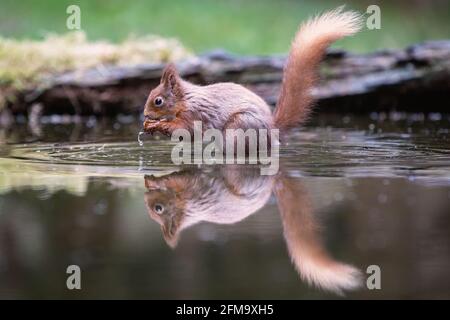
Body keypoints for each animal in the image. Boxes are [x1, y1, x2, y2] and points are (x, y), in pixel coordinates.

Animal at [144, 7, 362, 135]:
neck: (186, 100)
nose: (145, 116)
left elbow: (183, 128)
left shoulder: (194, 114)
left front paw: (158, 125)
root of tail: (272, 130)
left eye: (158, 101)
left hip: (240, 126)